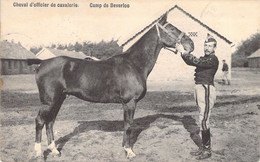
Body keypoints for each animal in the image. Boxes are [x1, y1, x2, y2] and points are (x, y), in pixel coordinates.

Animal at [26, 12, 193, 158]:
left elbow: (127, 125)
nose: (191, 44)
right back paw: (38, 152)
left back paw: (54, 150)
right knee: (40, 121)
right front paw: (129, 151)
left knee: (50, 122)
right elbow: (128, 126)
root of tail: (42, 62)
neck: (134, 64)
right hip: (49, 101)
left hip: (59, 99)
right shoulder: (130, 102)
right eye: (172, 28)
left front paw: (125, 148)